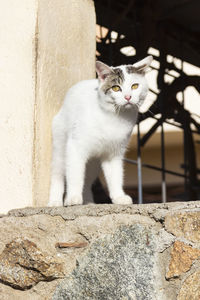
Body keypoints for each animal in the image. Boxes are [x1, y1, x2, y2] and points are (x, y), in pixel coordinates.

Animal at [47, 55, 152, 206]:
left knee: (87, 180)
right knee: (58, 174)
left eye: (135, 86)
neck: (114, 117)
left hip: (93, 164)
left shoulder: (114, 153)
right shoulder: (75, 147)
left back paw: (88, 202)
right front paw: (73, 197)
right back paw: (55, 201)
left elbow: (115, 176)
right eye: (116, 88)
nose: (127, 97)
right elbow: (75, 175)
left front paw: (119, 197)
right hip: (60, 147)